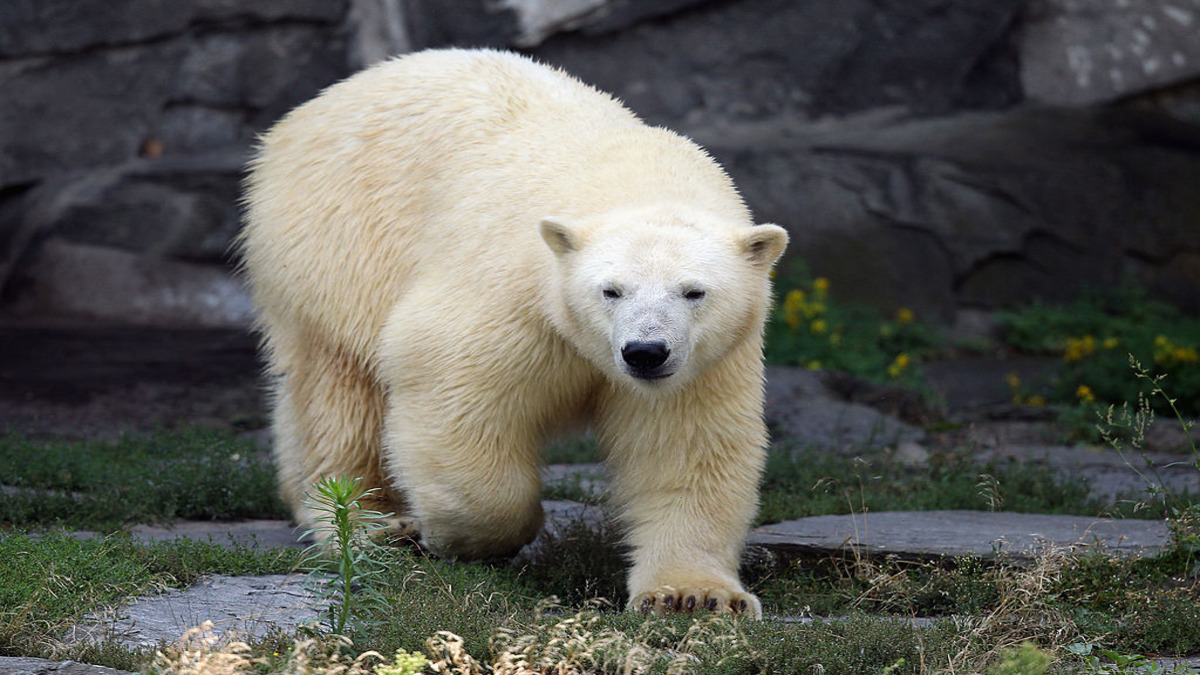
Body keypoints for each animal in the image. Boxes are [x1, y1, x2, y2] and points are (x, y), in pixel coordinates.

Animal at [238, 48, 787, 618]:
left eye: (694, 292)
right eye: (611, 290)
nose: (644, 352)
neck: (628, 172)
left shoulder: (704, 362)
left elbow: (686, 448)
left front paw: (692, 595)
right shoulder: (513, 297)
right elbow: (454, 393)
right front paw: (462, 537)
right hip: (340, 243)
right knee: (340, 391)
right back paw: (374, 523)